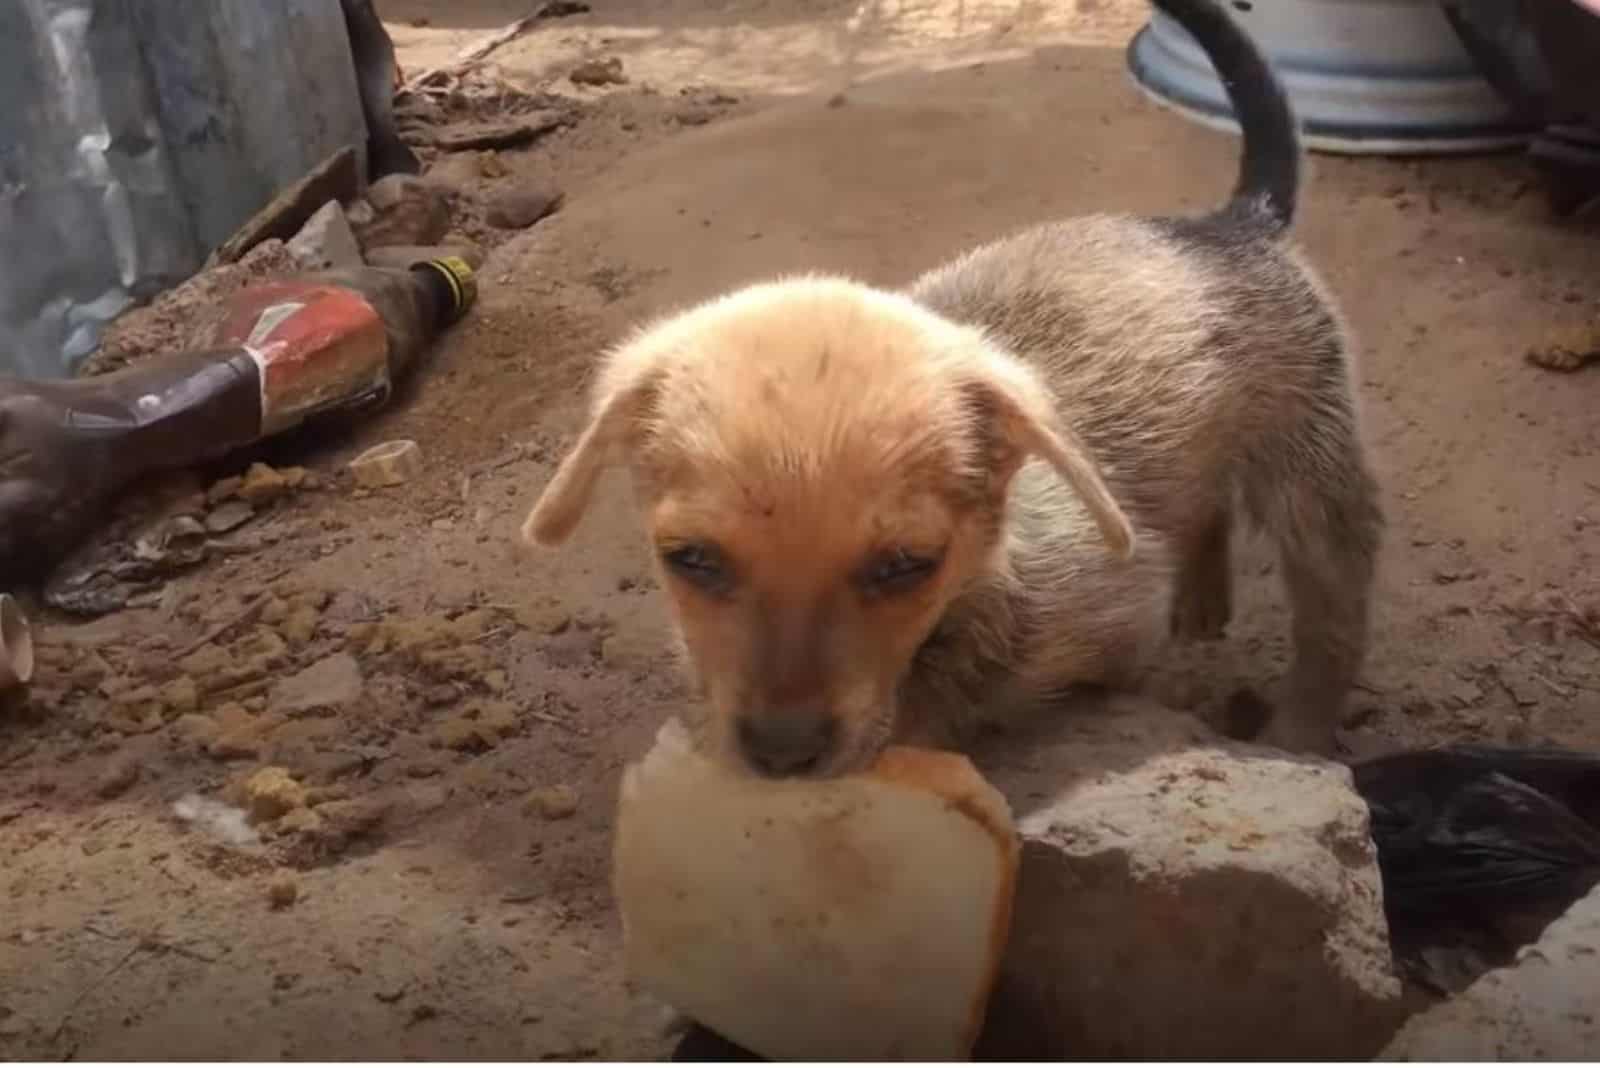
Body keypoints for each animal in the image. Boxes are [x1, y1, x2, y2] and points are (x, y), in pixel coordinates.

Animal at [518, 0, 1382, 777]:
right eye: (689, 560)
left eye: (907, 565)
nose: (782, 755)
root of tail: (1231, 225)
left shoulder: (1112, 621)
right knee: (1205, 508)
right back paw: (1203, 606)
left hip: (1314, 467)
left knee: (1333, 615)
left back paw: (1299, 731)